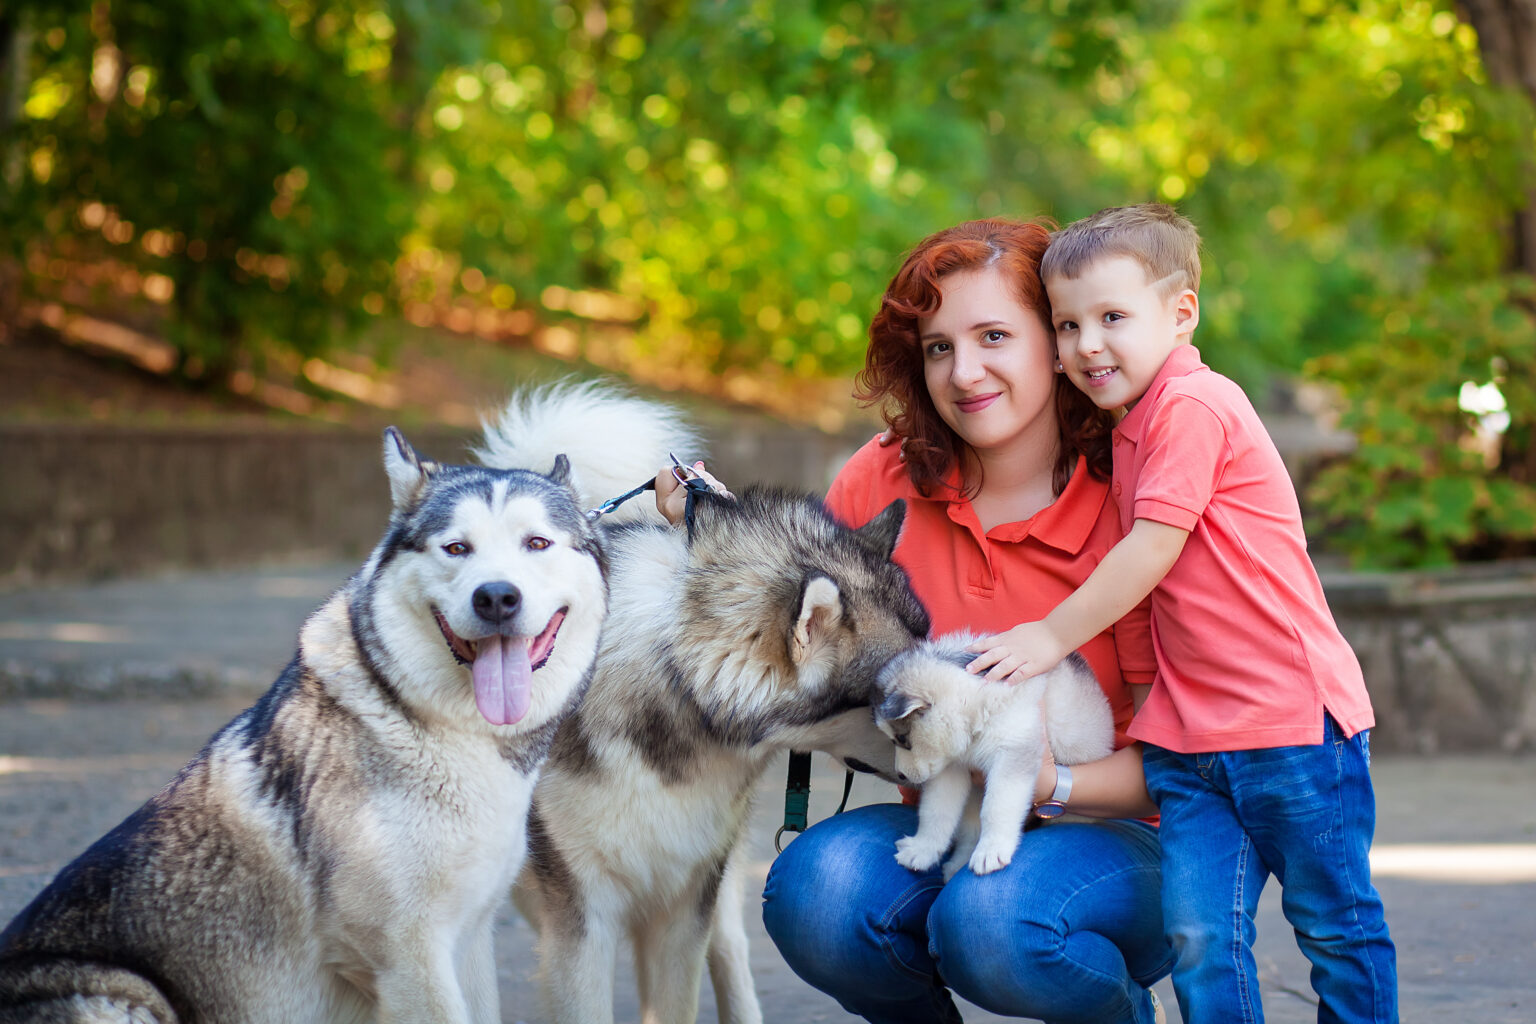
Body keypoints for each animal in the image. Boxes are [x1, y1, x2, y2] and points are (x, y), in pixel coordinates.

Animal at [0, 429, 608, 1019]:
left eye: (537, 544)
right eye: (458, 547)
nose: (497, 597)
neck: (444, 730)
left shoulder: (471, 936)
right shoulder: (406, 956)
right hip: (124, 996)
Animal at [878, 632, 1118, 884]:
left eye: (902, 738)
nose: (900, 775)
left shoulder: (1013, 752)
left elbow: (997, 807)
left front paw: (991, 851)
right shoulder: (951, 768)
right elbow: (936, 811)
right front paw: (922, 850)